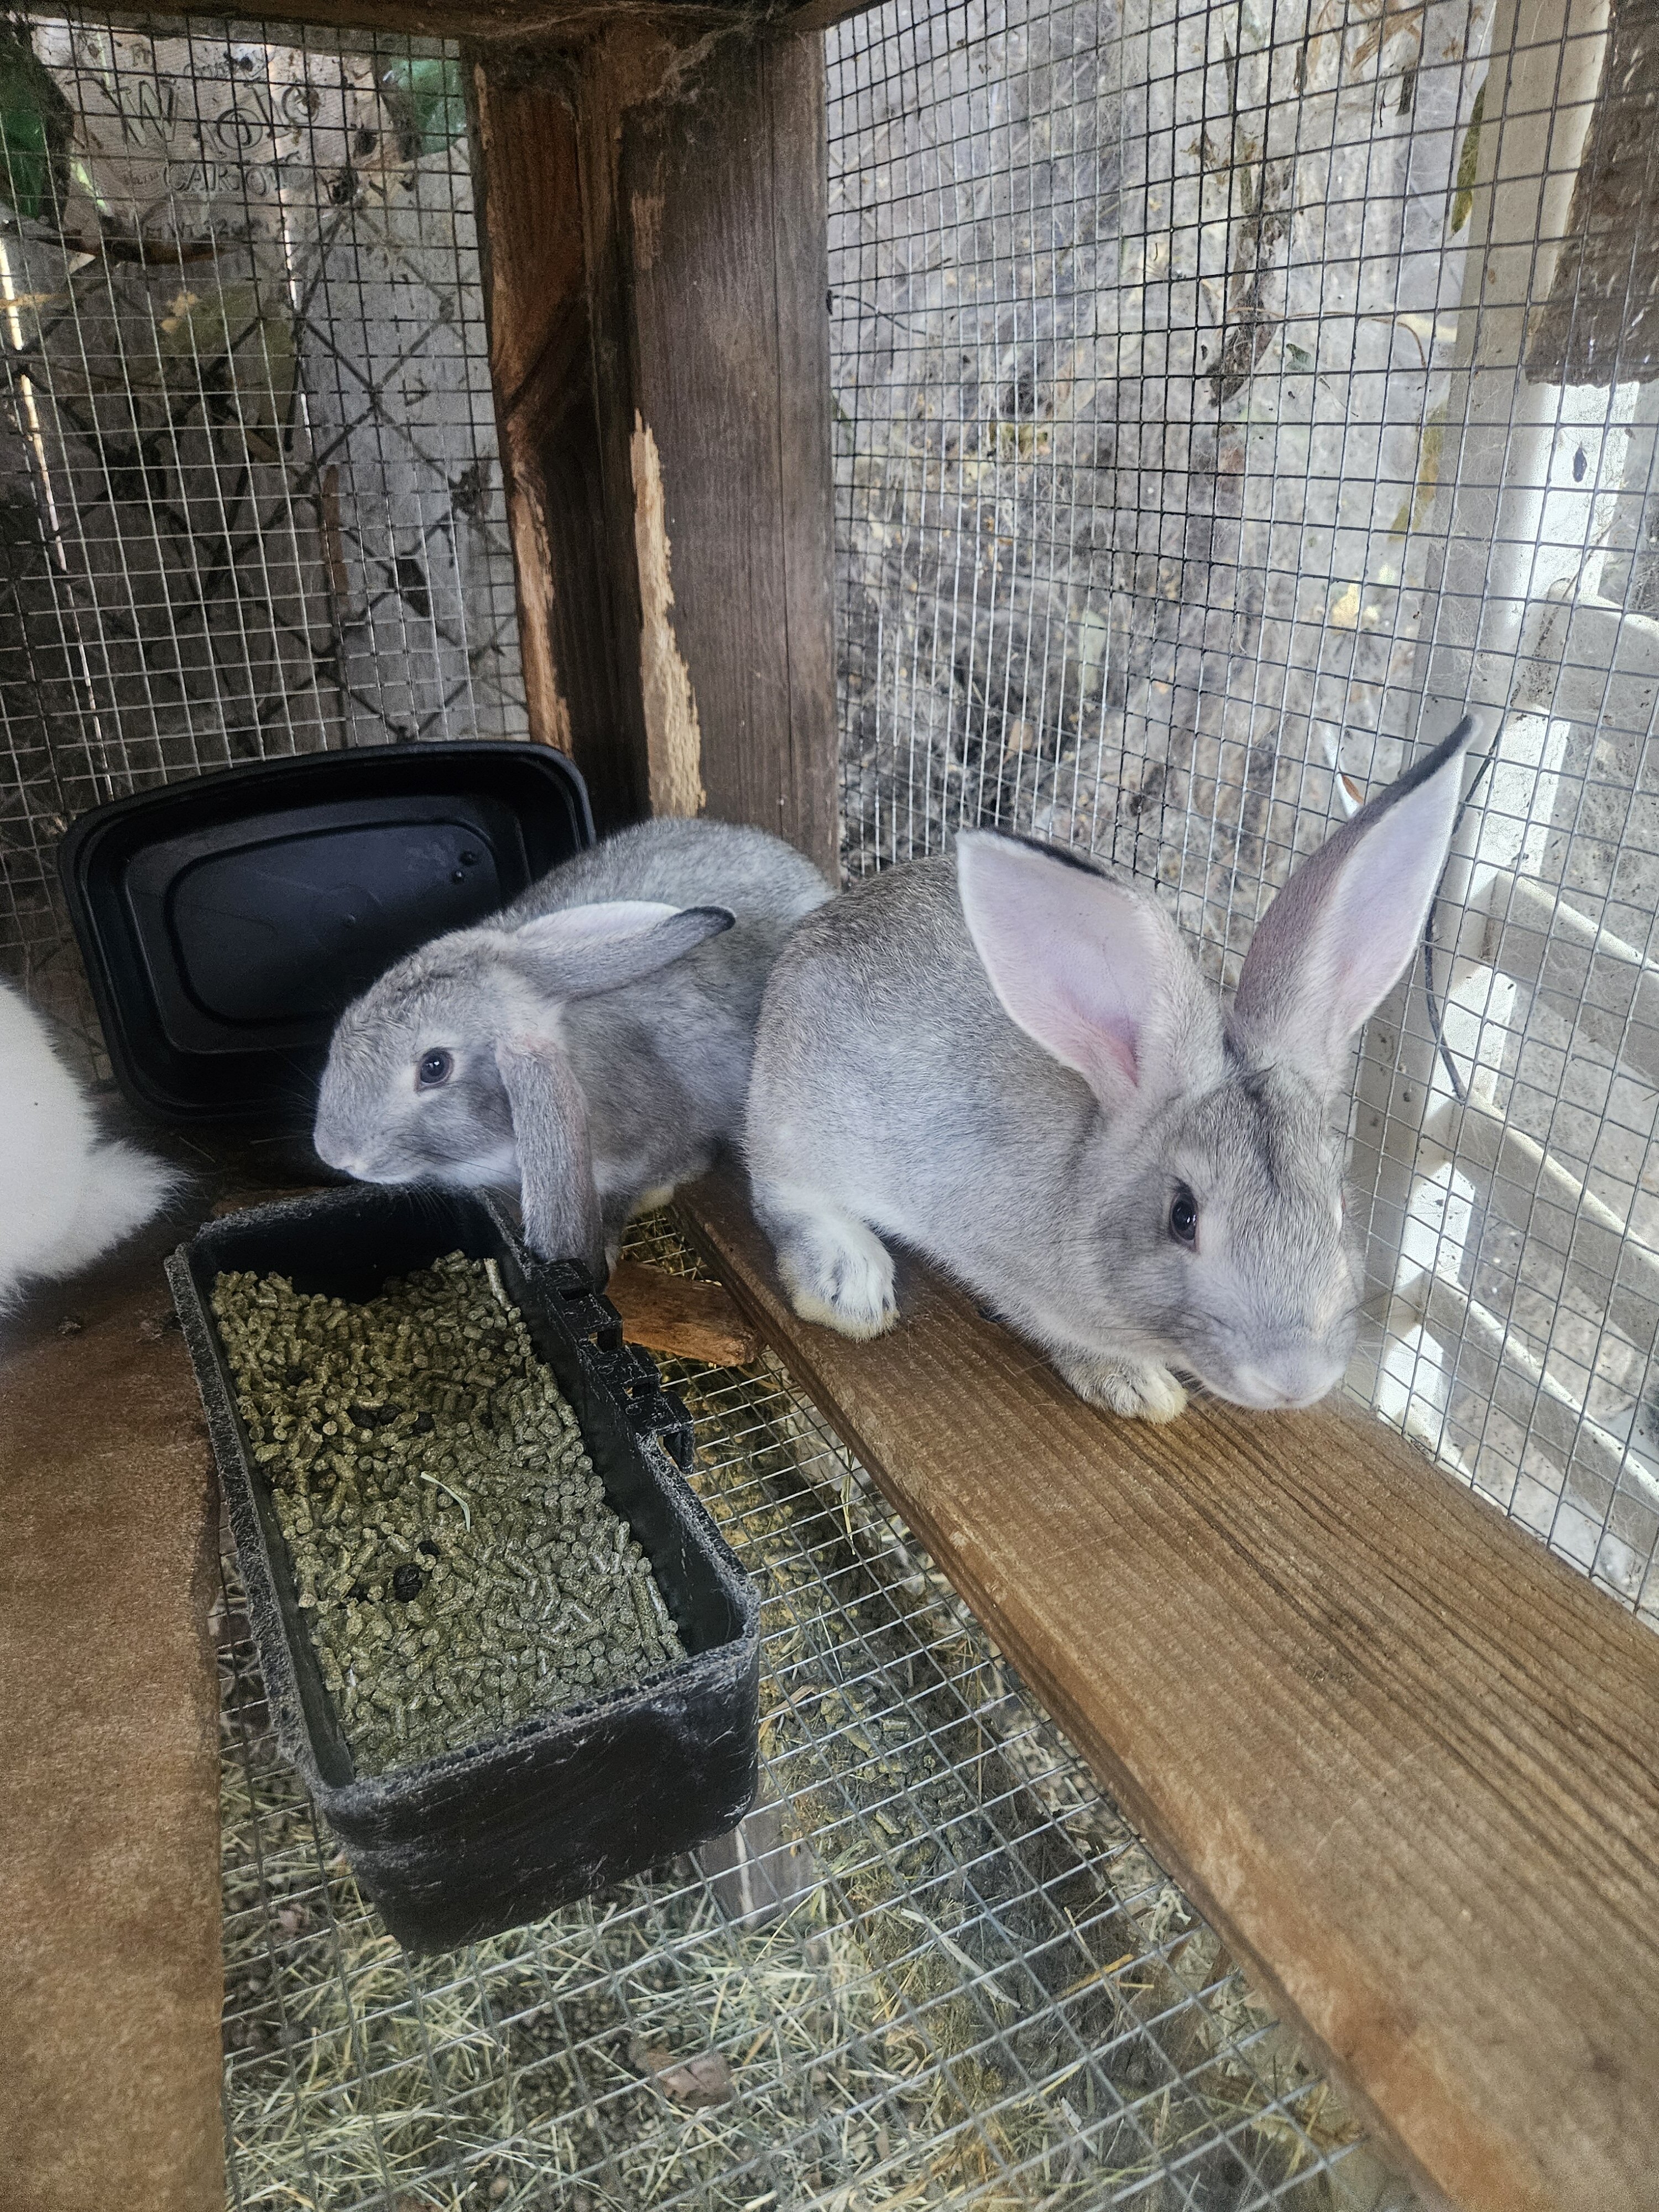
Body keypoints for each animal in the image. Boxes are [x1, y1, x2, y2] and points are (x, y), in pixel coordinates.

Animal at [744, 715, 1479, 1422]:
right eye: (1182, 1217)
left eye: (1337, 1206)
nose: (1294, 1380)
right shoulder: (1004, 1267)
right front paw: (1135, 1386)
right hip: (798, 1118)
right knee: (782, 1192)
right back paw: (850, 1287)